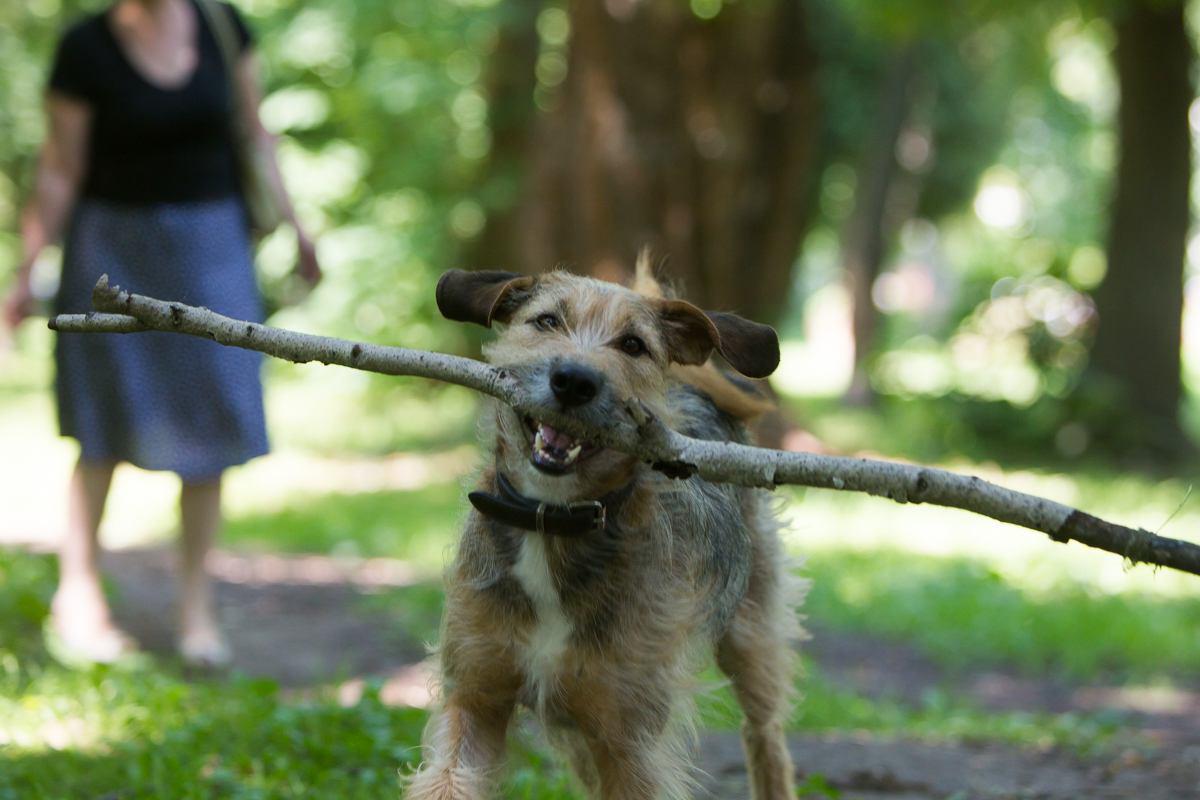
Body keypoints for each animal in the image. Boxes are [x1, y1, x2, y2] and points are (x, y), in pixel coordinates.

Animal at [408, 260, 801, 796]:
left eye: (633, 345)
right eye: (547, 321)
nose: (574, 381)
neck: (551, 522)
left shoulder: (630, 744)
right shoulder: (473, 700)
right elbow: (449, 775)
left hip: (751, 636)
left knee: (765, 734)